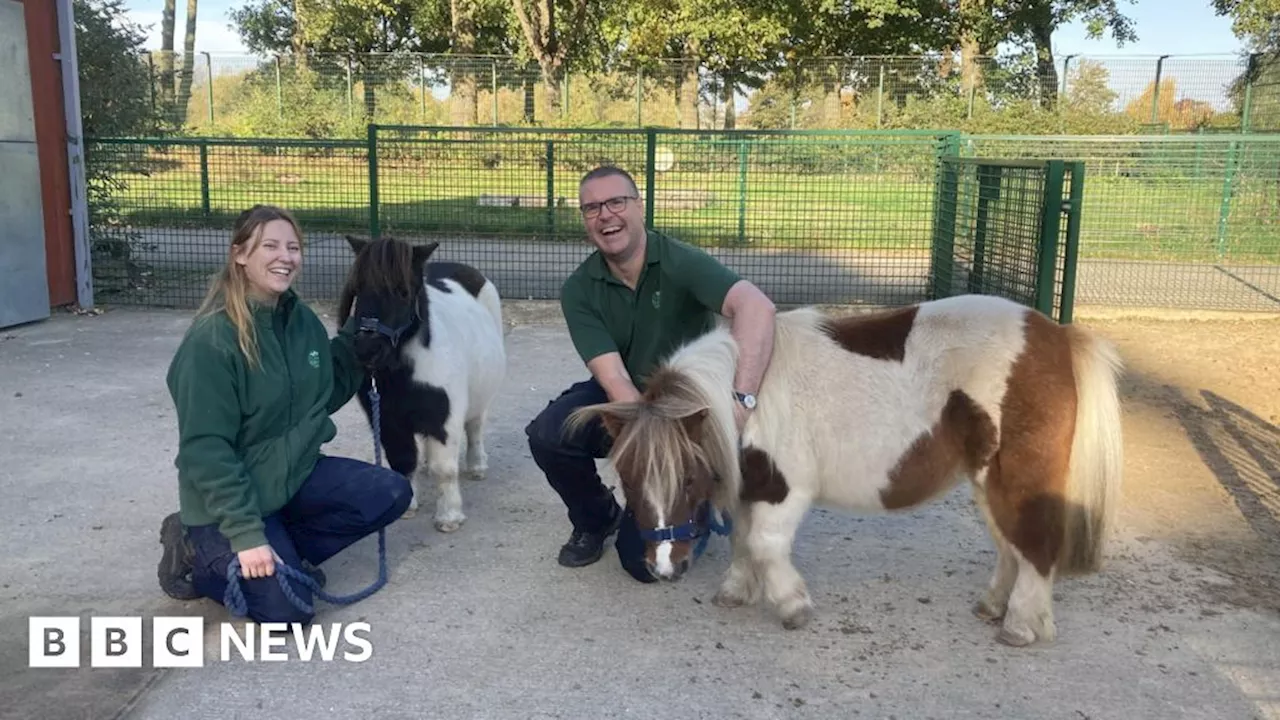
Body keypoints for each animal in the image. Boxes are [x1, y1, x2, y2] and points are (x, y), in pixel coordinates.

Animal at [337, 235, 506, 532]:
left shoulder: (445, 418)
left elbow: (445, 469)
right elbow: (403, 461)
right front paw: (408, 506)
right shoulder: (388, 422)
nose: (367, 350)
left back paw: (476, 466)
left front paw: (449, 517)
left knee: (475, 427)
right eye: (358, 289)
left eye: (404, 293)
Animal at [570, 292, 1121, 645]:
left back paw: (1021, 625)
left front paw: (793, 606)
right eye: (626, 479)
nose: (665, 568)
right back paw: (994, 606)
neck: (746, 401)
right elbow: (743, 540)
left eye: (688, 477)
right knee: (1010, 542)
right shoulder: (751, 488)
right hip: (987, 479)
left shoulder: (785, 490)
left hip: (1022, 476)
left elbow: (765, 544)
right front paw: (736, 591)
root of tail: (1058, 335)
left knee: (1035, 542)